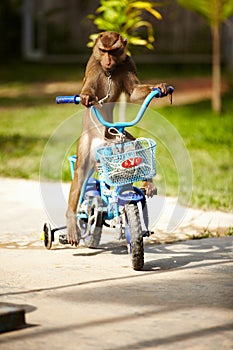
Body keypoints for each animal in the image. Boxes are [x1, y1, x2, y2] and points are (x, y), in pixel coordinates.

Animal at [66, 32, 170, 246]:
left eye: (113, 51)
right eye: (103, 50)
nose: (107, 60)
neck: (110, 71)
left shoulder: (128, 62)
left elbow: (135, 92)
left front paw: (159, 87)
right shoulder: (93, 65)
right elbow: (88, 89)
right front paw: (86, 97)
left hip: (118, 137)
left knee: (133, 142)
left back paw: (148, 182)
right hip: (88, 144)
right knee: (80, 175)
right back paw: (72, 222)